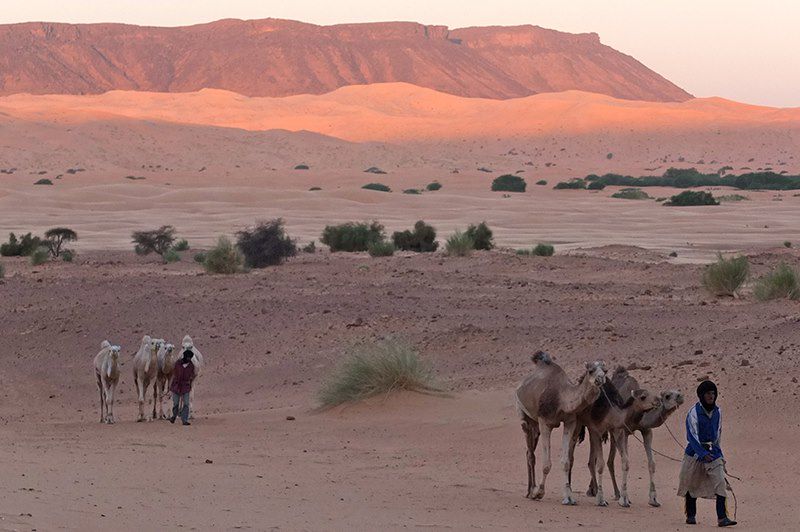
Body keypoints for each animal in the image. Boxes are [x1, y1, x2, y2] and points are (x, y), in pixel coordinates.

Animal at [516, 352, 608, 504]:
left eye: (605, 370)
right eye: (590, 370)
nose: (600, 379)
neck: (561, 399)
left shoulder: (570, 422)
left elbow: (565, 461)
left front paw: (569, 497)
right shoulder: (544, 422)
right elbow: (546, 464)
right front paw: (539, 493)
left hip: (535, 425)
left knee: (530, 450)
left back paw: (530, 490)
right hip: (522, 414)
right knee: (530, 453)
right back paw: (531, 491)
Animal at [568, 376, 664, 504]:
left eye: (652, 392)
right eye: (643, 396)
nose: (658, 401)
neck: (611, 412)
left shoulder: (617, 431)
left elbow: (626, 461)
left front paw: (626, 499)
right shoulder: (597, 430)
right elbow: (600, 464)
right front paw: (601, 499)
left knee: (590, 461)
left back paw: (595, 491)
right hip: (578, 422)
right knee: (572, 455)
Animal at [604, 366, 684, 508]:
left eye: (678, 391)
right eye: (668, 396)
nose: (681, 397)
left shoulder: (646, 430)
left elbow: (651, 463)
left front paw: (653, 499)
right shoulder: (621, 431)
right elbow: (625, 462)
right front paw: (624, 500)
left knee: (610, 460)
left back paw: (617, 493)